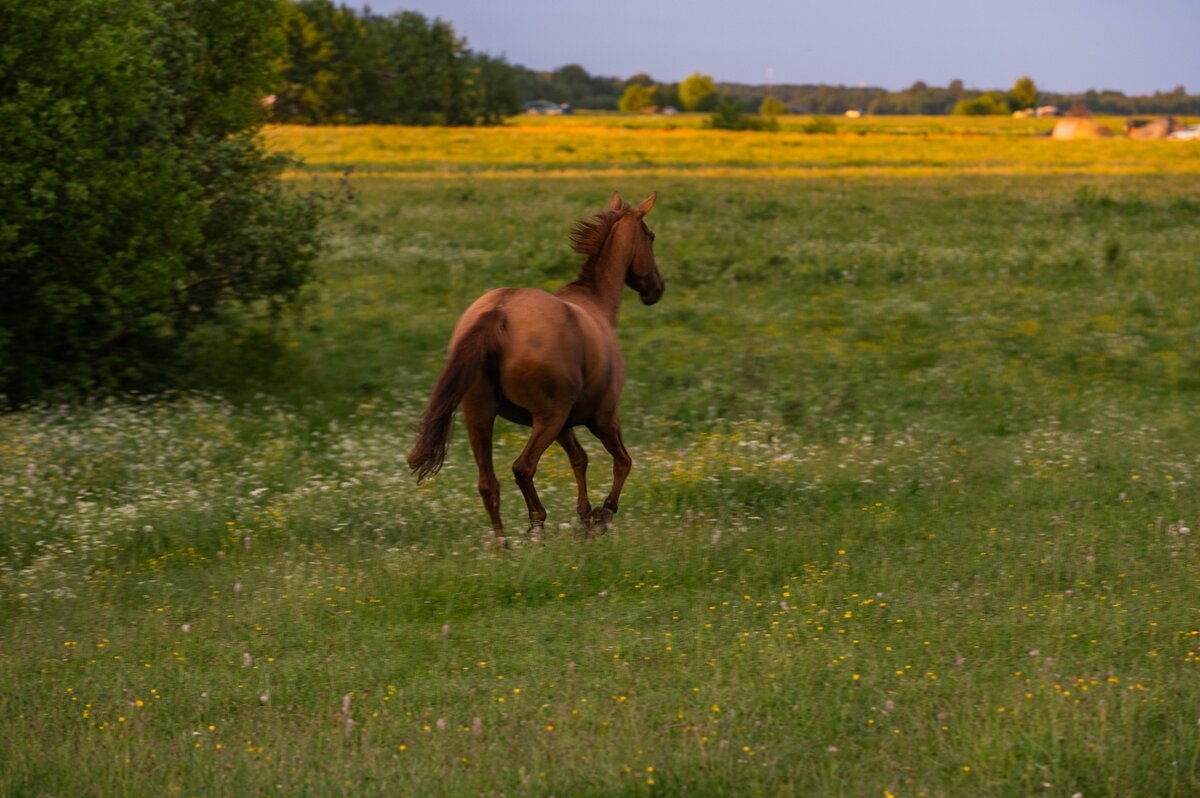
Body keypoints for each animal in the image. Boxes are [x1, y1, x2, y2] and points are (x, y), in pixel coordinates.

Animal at [408, 192, 662, 537]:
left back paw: (503, 543)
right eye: (651, 237)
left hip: (481, 416)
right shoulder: (603, 416)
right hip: (547, 417)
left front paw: (584, 515)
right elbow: (622, 462)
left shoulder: (566, 424)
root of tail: (499, 312)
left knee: (489, 484)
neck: (595, 304)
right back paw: (537, 526)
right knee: (523, 467)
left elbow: (580, 460)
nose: (657, 289)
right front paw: (601, 514)